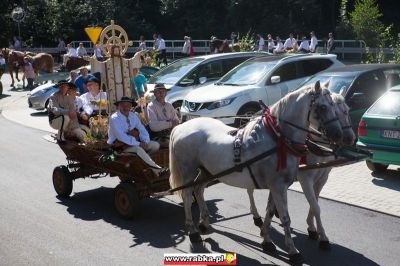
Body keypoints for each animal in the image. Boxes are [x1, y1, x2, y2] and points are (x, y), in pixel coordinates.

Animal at [169, 81, 344, 264]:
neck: (277, 138)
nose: (338, 135)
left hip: (207, 171)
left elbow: (270, 212)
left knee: (199, 190)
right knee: (187, 195)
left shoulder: (278, 186)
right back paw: (193, 231)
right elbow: (285, 218)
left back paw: (204, 223)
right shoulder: (278, 186)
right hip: (188, 170)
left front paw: (266, 240)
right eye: (323, 107)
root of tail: (180, 126)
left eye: (334, 105)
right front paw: (293, 251)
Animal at [247, 92, 356, 250]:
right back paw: (256, 216)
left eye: (347, 110)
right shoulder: (305, 179)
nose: (349, 137)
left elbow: (314, 203)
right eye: (332, 110)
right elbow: (315, 206)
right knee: (250, 191)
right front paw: (323, 237)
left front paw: (312, 227)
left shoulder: (322, 178)